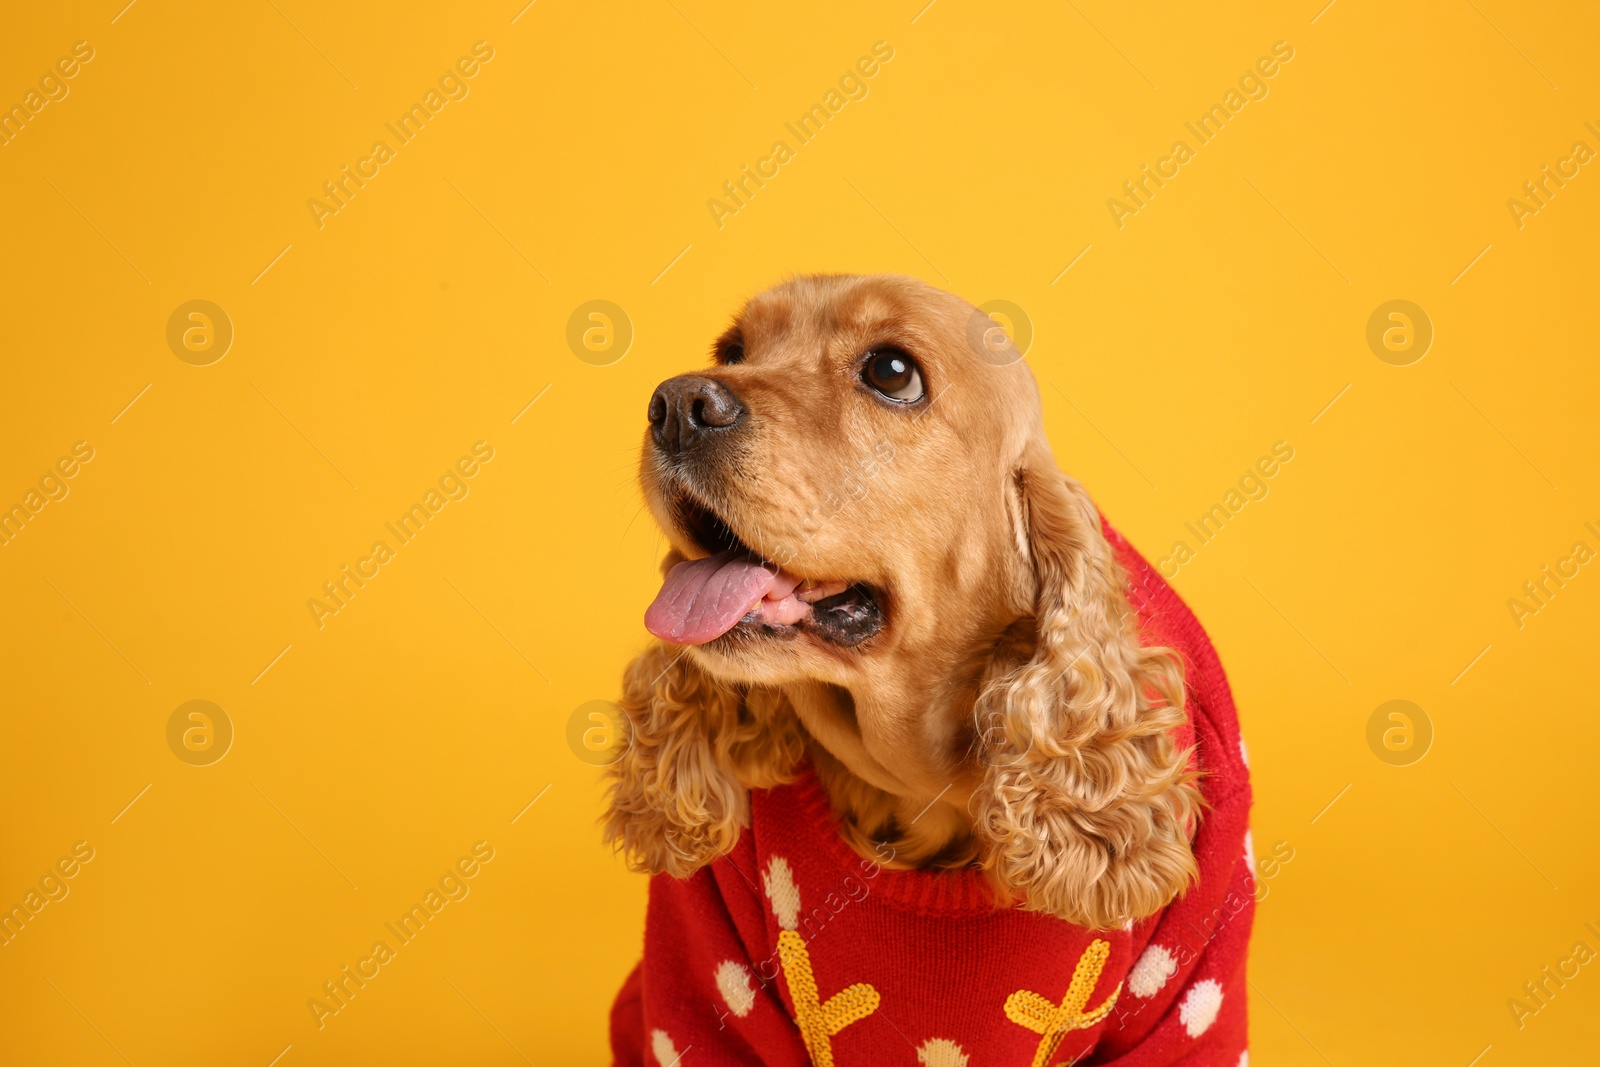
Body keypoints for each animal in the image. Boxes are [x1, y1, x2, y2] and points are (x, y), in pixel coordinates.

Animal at [604, 278, 1254, 1067]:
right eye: (732, 350)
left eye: (892, 373)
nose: (675, 405)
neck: (923, 786)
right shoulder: (705, 976)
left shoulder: (1189, 992)